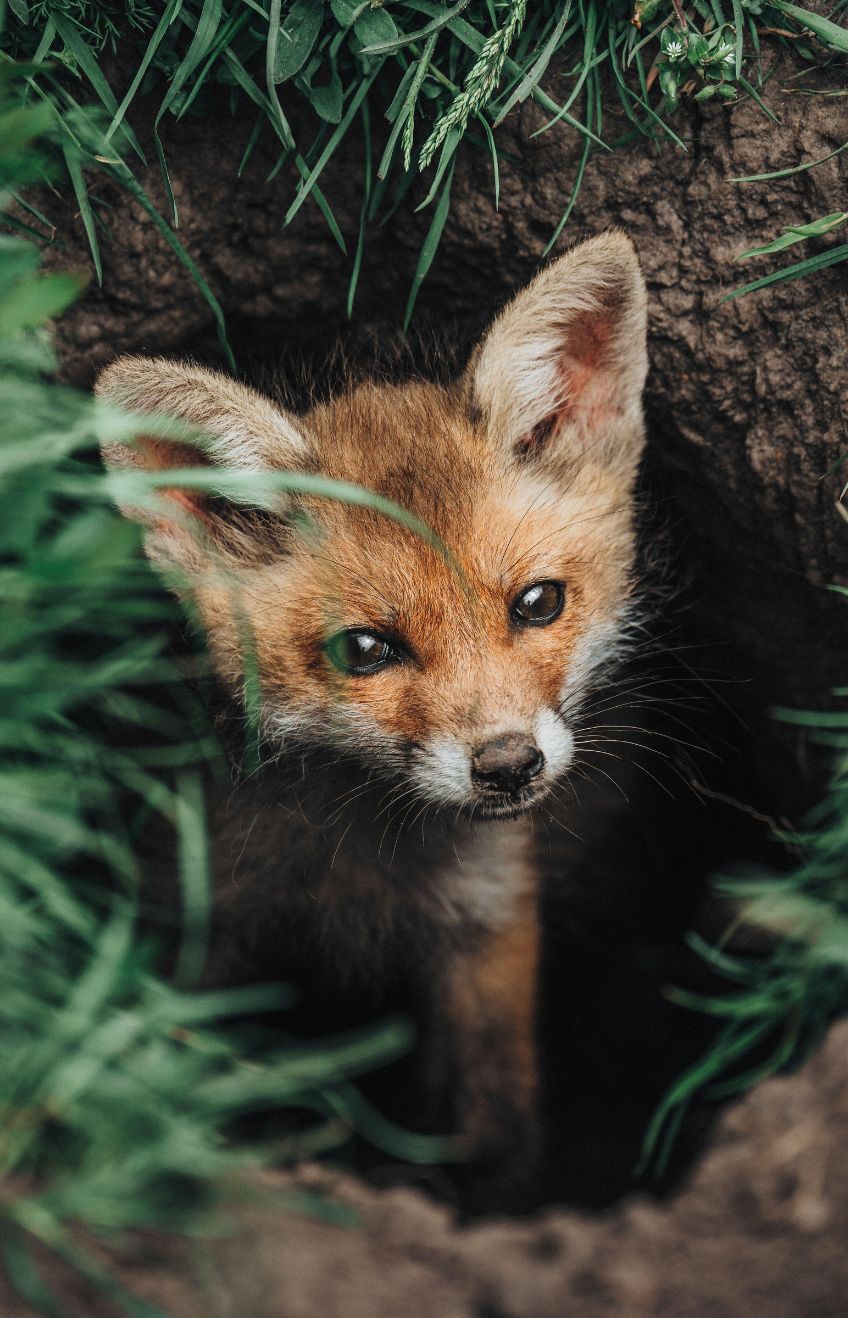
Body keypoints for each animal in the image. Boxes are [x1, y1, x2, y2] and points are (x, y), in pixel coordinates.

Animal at [96, 231, 649, 1202]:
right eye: (365, 650)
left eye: (539, 602)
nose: (509, 765)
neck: (362, 868)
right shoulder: (204, 921)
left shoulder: (486, 922)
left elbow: (498, 1111)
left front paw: (491, 1205)